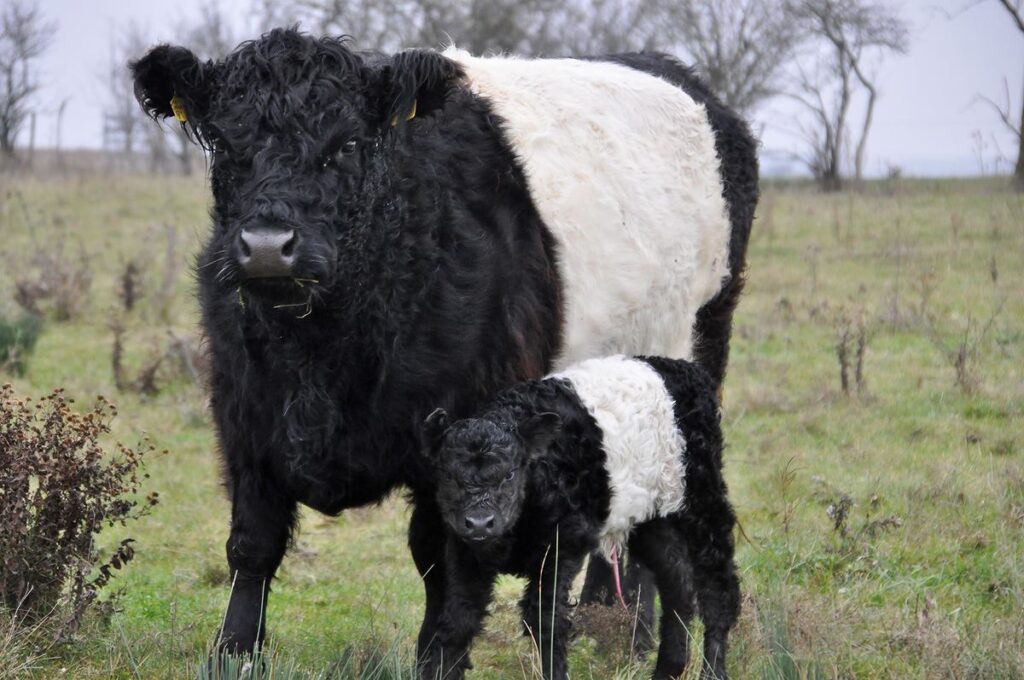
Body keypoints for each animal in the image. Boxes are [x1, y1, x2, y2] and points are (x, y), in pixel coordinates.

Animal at [419, 356, 741, 680]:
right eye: (448, 475)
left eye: (510, 474)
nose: (480, 522)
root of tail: (686, 369)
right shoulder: (465, 553)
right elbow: (458, 621)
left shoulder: (563, 545)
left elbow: (546, 620)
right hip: (650, 520)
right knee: (678, 581)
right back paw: (668, 669)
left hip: (702, 498)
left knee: (717, 586)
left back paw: (713, 671)